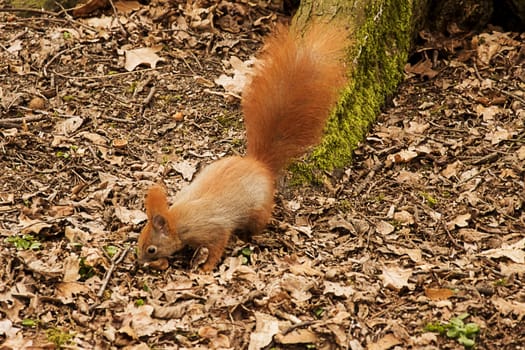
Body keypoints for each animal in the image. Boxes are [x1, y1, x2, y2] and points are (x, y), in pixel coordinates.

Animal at [137, 21, 346, 272]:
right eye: (139, 239)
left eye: (151, 249)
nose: (137, 261)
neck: (177, 220)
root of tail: (259, 164)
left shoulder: (213, 230)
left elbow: (217, 246)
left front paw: (206, 268)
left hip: (258, 210)